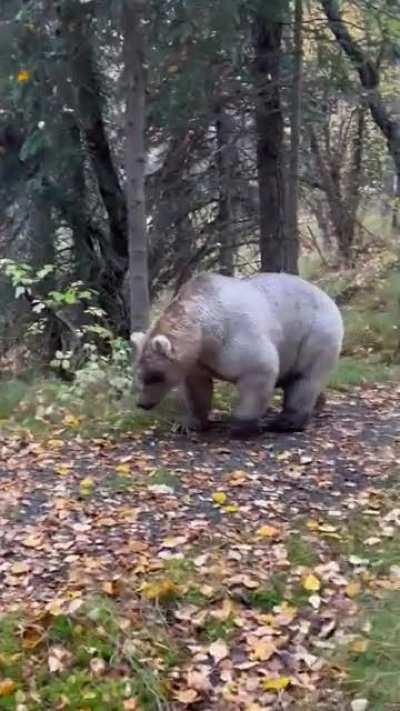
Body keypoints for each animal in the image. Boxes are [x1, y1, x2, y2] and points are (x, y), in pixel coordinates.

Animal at [131, 272, 344, 436]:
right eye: (140, 375)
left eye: (155, 376)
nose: (142, 403)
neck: (205, 334)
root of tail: (326, 295)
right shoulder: (198, 362)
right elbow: (197, 388)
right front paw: (187, 423)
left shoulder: (236, 339)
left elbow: (259, 371)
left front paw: (241, 425)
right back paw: (318, 404)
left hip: (314, 334)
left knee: (305, 378)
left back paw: (285, 422)